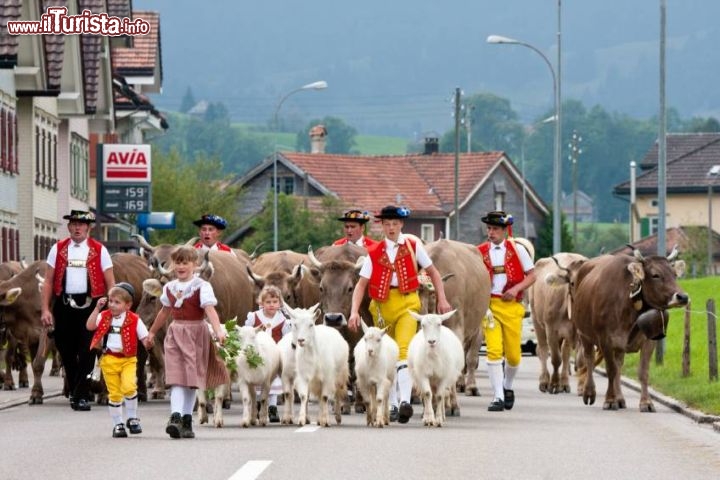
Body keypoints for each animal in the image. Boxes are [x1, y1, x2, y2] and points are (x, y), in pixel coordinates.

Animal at [532, 251, 588, 394]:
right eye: (572, 283)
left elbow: (574, 358)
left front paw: (569, 385)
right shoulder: (551, 329)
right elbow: (556, 359)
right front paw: (553, 384)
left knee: (564, 354)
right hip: (537, 321)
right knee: (543, 350)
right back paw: (544, 381)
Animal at [572, 249, 688, 410]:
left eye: (674, 274)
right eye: (655, 275)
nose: (683, 297)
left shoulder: (649, 340)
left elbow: (643, 372)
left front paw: (646, 402)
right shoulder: (605, 340)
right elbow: (610, 370)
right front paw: (610, 400)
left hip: (618, 345)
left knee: (618, 365)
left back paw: (620, 398)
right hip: (584, 335)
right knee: (588, 361)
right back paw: (589, 392)